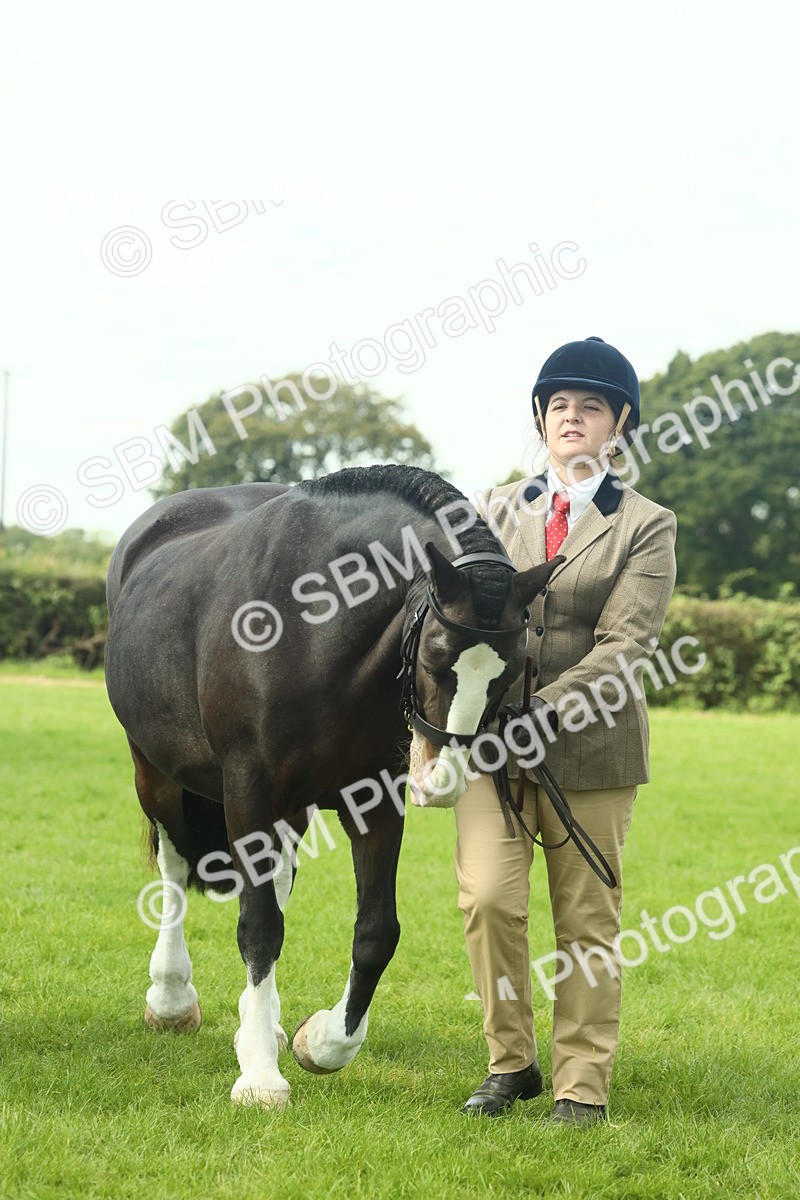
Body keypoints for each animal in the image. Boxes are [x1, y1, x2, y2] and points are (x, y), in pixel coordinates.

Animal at [105, 464, 560, 1107]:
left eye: (513, 668)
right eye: (434, 657)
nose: (442, 779)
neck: (311, 628)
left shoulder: (375, 797)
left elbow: (375, 932)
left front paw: (319, 1042)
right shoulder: (249, 790)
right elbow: (259, 925)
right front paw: (261, 1077)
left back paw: (263, 1023)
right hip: (156, 771)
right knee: (174, 864)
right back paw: (172, 998)